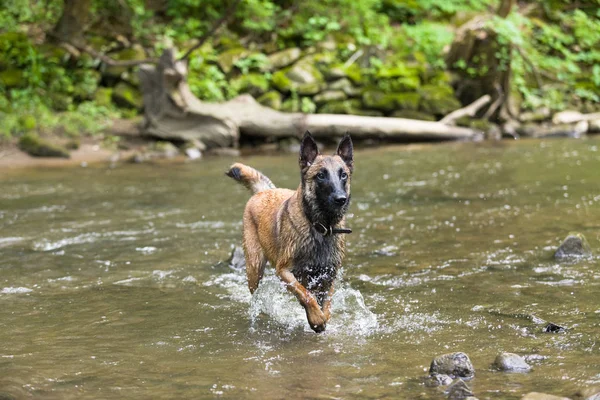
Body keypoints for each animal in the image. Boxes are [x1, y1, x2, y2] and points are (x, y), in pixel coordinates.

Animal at [227, 130, 354, 332]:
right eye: (321, 175)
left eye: (343, 175)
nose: (340, 199)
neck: (320, 227)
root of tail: (263, 191)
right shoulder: (284, 271)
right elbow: (305, 294)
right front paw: (316, 319)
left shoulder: (329, 274)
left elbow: (327, 303)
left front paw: (322, 316)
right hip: (254, 268)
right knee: (256, 294)